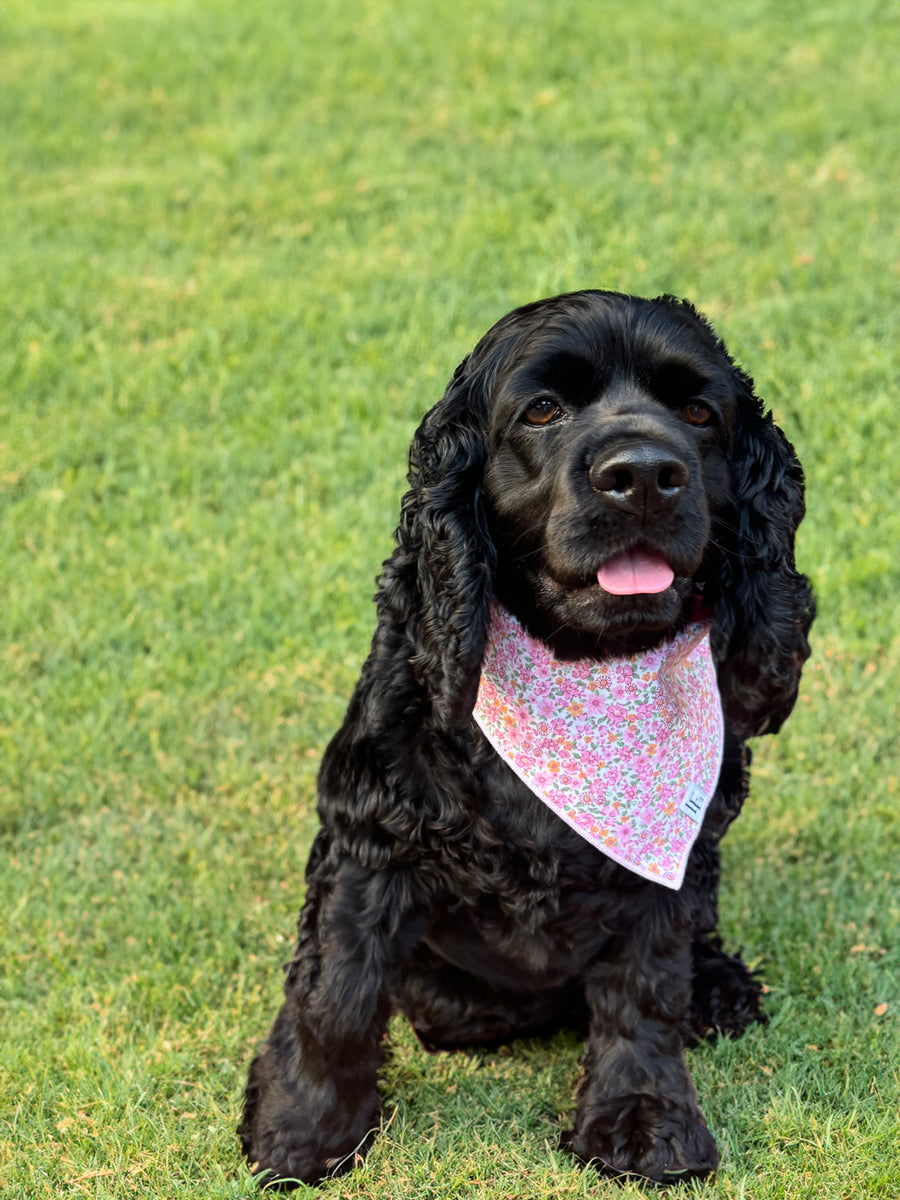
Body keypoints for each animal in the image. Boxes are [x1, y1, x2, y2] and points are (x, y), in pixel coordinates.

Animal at [241, 290, 816, 1180]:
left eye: (698, 411)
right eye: (543, 409)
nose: (642, 476)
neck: (583, 667)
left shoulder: (664, 871)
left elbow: (645, 994)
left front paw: (643, 1121)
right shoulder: (371, 833)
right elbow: (335, 992)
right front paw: (302, 1128)